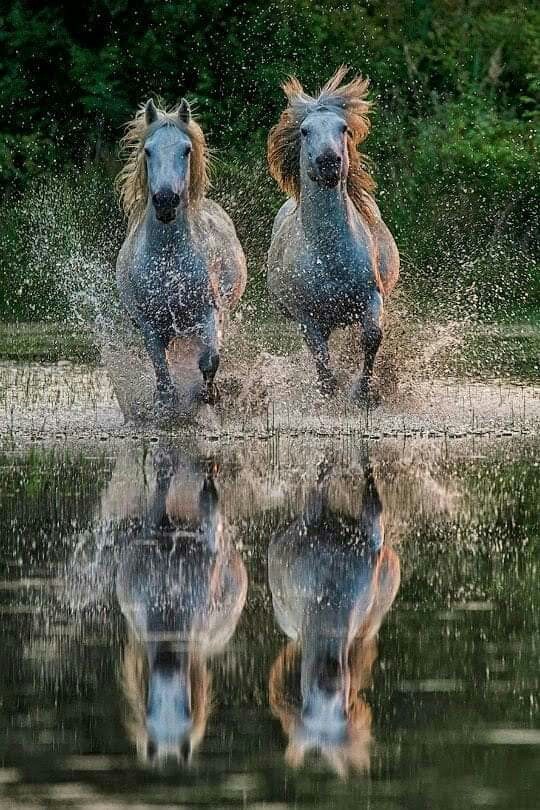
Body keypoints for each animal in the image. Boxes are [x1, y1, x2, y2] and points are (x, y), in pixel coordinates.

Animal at [116, 98, 247, 416]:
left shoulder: (207, 314)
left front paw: (208, 396)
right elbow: (163, 374)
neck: (168, 261)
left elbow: (209, 360)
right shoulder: (150, 325)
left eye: (186, 150)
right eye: (148, 150)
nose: (165, 202)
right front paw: (166, 407)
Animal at [116, 448, 247, 764]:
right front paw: (164, 465)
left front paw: (209, 483)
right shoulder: (151, 529)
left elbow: (211, 515)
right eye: (149, 706)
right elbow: (158, 497)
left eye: (188, 709)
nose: (167, 666)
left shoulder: (210, 554)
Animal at [267, 67, 399, 403]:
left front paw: (363, 393)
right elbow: (322, 361)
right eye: (304, 131)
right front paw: (331, 393)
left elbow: (371, 337)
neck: (328, 255)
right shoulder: (308, 317)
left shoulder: (370, 297)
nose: (328, 162)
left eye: (343, 128)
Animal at [268, 463, 400, 776]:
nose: (329, 678)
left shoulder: (370, 537)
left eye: (343, 710)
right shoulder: (309, 519)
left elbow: (372, 496)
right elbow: (318, 488)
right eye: (308, 708)